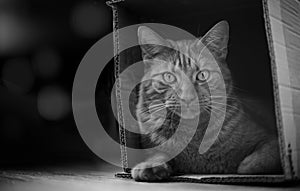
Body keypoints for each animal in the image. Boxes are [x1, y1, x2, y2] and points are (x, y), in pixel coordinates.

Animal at [131, 20, 282, 182]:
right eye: (169, 77)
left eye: (202, 75)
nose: (187, 96)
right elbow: (159, 153)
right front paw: (150, 165)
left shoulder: (270, 138)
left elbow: (264, 156)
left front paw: (245, 166)